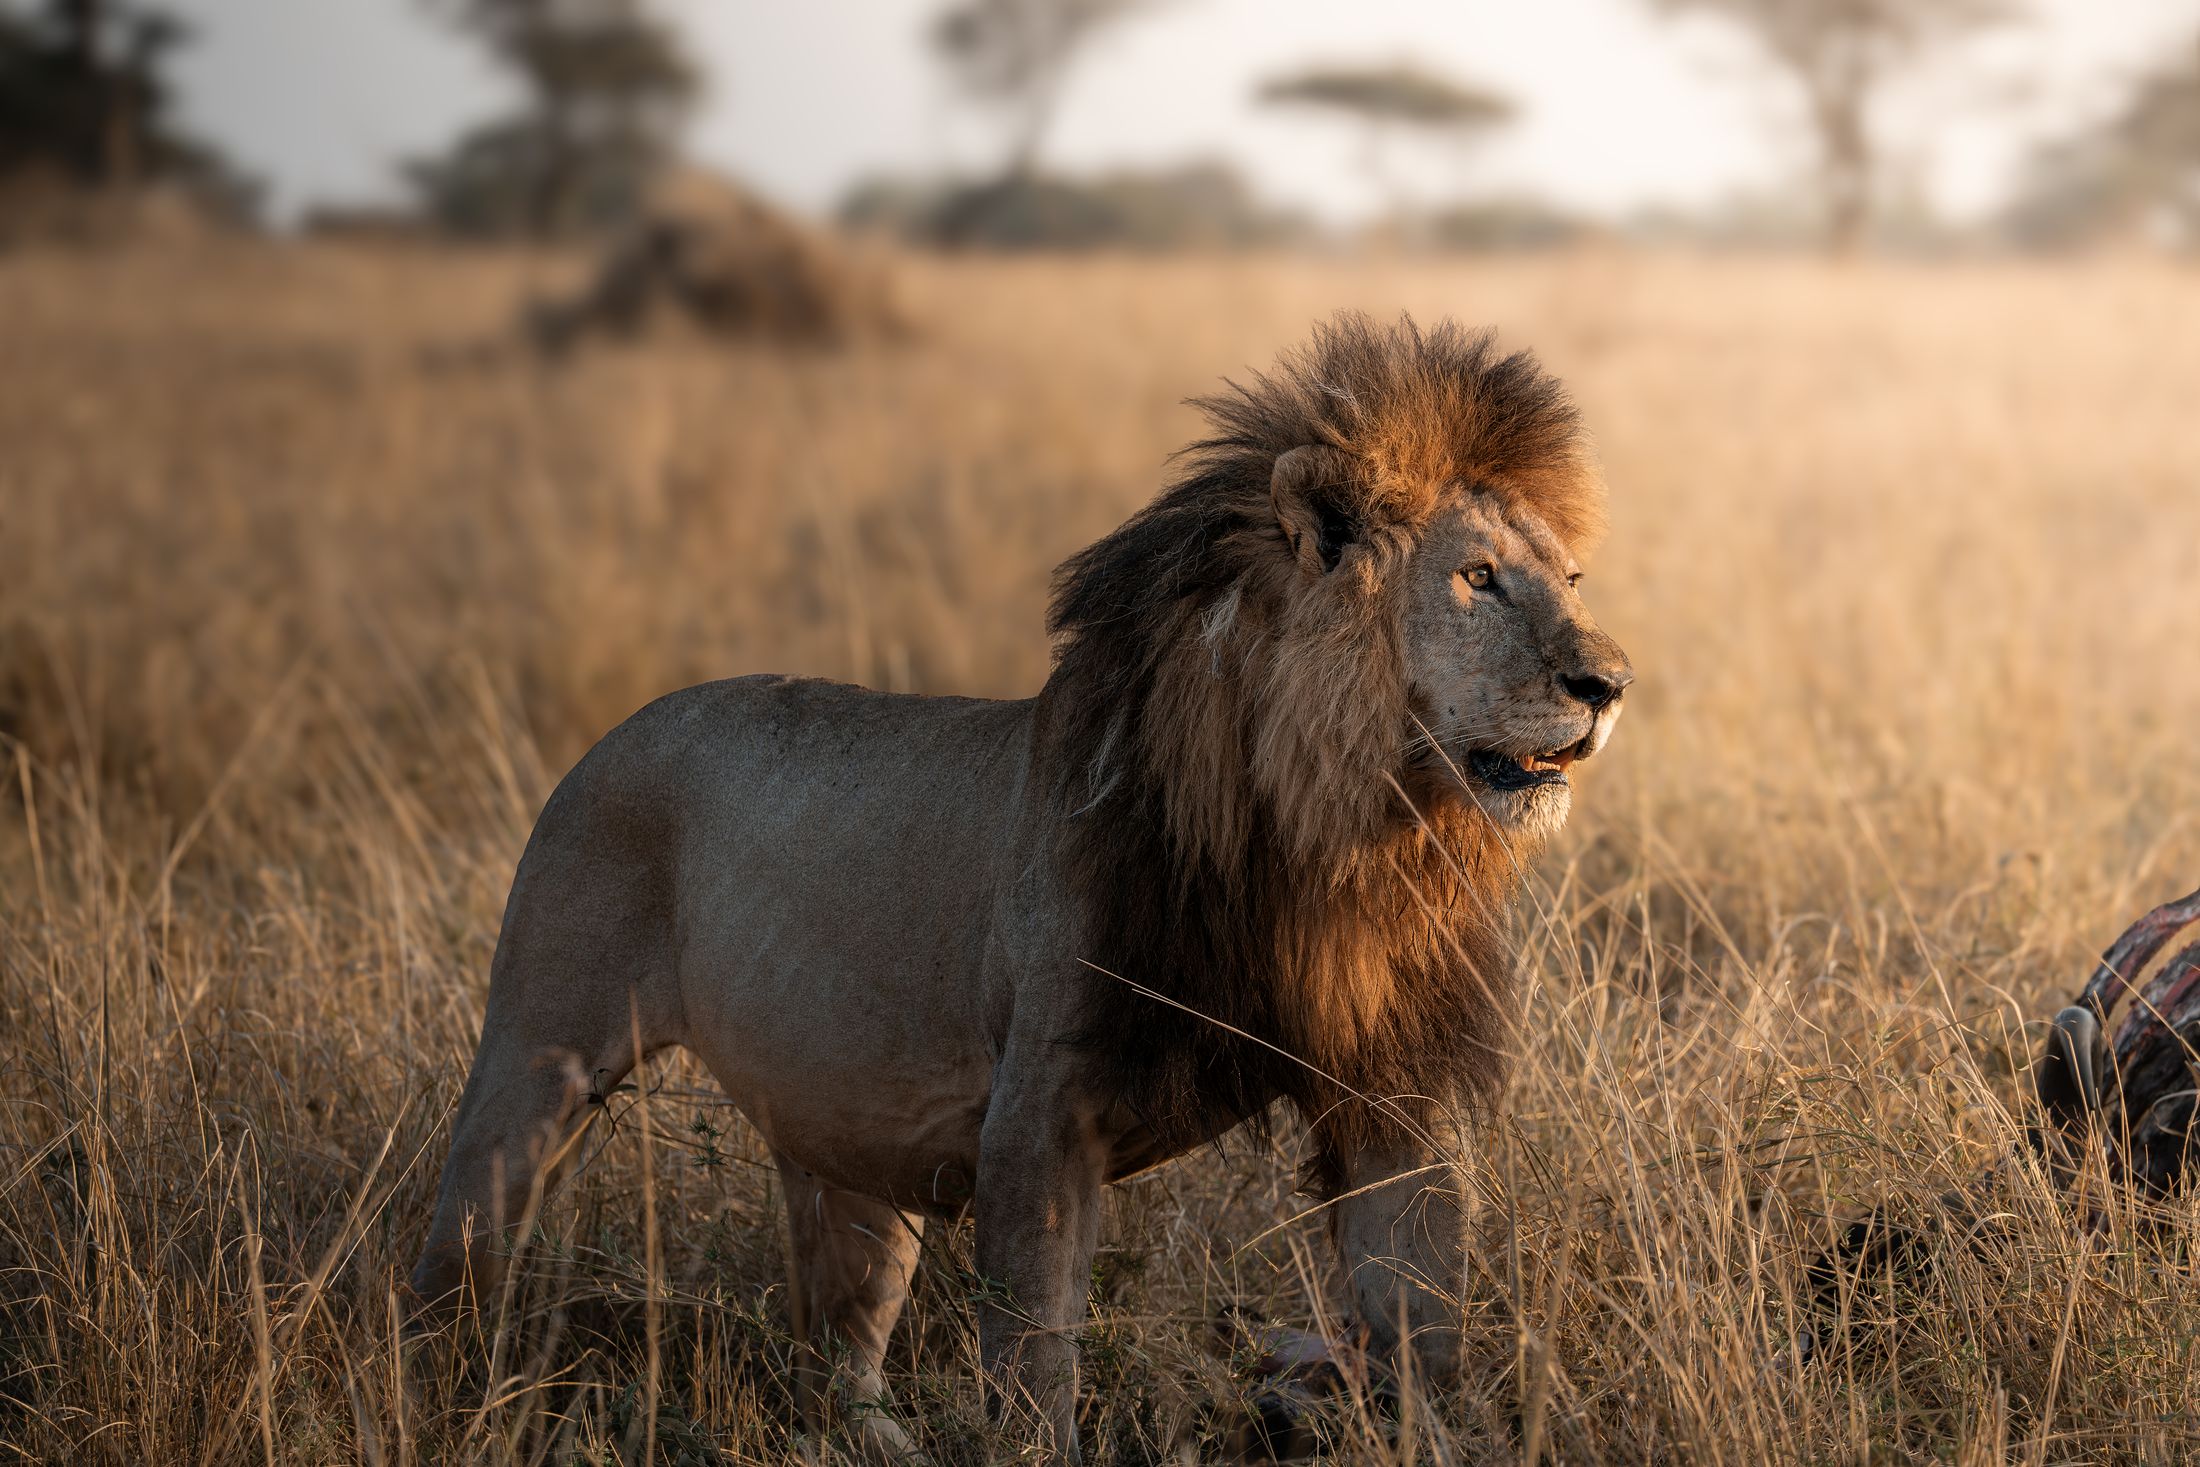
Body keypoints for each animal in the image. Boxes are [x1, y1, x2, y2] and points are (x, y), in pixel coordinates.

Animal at [409, 312, 1633, 1461]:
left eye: (1571, 580)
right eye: (1477, 578)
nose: (1610, 682)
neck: (1331, 836)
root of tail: (611, 736)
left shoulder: (1391, 1085)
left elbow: (1421, 1314)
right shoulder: (1041, 1114)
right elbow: (1035, 1354)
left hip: (845, 1145)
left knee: (836, 1355)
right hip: (538, 1061)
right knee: (452, 1253)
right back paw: (435, 1398)